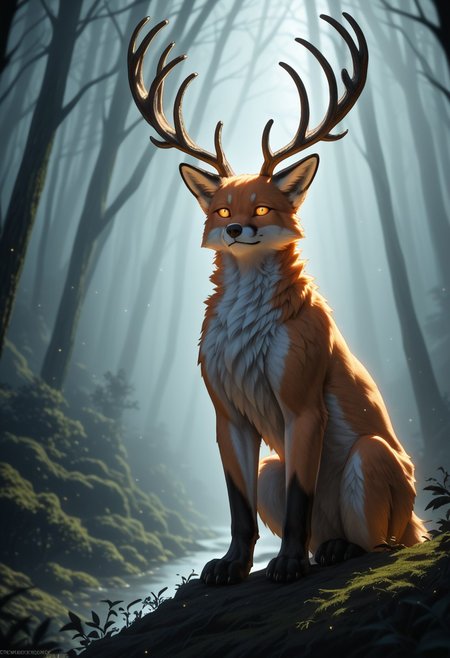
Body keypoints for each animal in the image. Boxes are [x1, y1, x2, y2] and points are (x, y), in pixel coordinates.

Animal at [128, 12, 427, 584]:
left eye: (263, 208)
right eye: (223, 210)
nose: (237, 229)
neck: (248, 336)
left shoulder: (302, 404)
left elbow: (298, 501)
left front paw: (287, 564)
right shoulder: (227, 414)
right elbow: (237, 508)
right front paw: (230, 566)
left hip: (371, 457)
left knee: (380, 544)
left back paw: (335, 552)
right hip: (273, 464)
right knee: (320, 525)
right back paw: (321, 549)